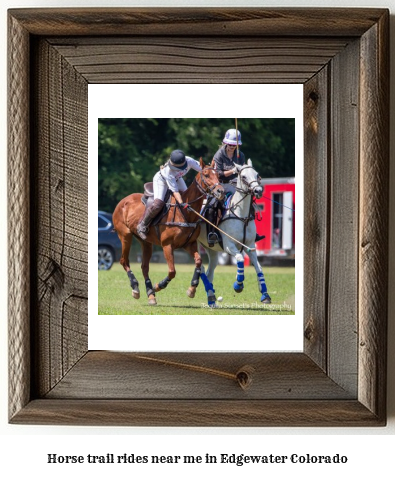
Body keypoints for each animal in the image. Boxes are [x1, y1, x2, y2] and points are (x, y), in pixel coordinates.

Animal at [113, 159, 224, 304]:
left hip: (145, 242)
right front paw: (158, 286)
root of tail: (122, 201)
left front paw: (192, 289)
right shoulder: (167, 245)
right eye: (206, 175)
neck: (186, 213)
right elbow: (172, 271)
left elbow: (199, 261)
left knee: (144, 266)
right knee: (124, 261)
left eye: (218, 175)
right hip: (125, 235)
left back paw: (150, 294)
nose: (221, 191)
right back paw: (136, 288)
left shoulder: (189, 244)